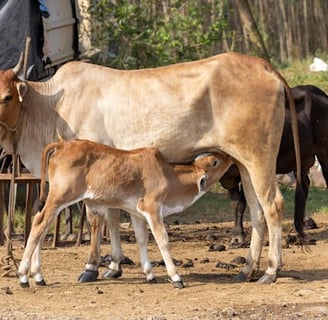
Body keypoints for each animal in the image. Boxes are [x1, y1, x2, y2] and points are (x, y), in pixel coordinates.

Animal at [17, 139, 233, 288]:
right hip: (60, 196)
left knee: (42, 227)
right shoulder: (153, 208)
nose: (229, 156)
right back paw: (23, 276)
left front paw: (150, 274)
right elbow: (162, 240)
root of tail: (62, 145)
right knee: (39, 224)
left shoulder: (137, 213)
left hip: (57, 199)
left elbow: (142, 239)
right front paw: (176, 277)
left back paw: (38, 276)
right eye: (215, 162)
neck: (168, 175)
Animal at [219, 84, 328, 245]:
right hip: (300, 159)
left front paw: (239, 236)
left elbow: (242, 203)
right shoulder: (230, 176)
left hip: (323, 152)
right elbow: (236, 203)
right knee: (304, 184)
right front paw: (236, 234)